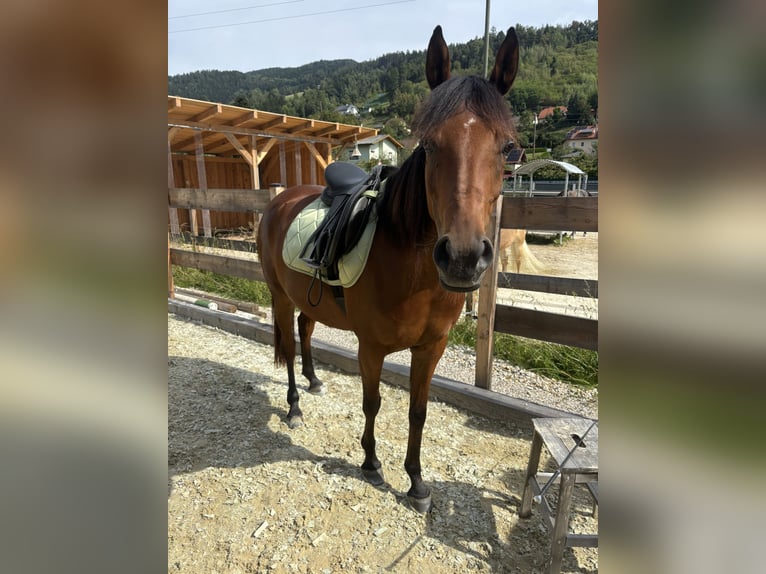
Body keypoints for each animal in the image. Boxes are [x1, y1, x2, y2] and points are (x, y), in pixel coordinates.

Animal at [260, 24, 520, 516]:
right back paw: (295, 406)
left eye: (507, 149)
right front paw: (370, 464)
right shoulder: (372, 348)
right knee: (287, 341)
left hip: (306, 298)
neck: (412, 273)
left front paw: (416, 481)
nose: (462, 257)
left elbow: (418, 411)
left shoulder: (431, 348)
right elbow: (373, 402)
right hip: (280, 297)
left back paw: (314, 381)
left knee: (304, 329)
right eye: (430, 144)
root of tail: (280, 199)